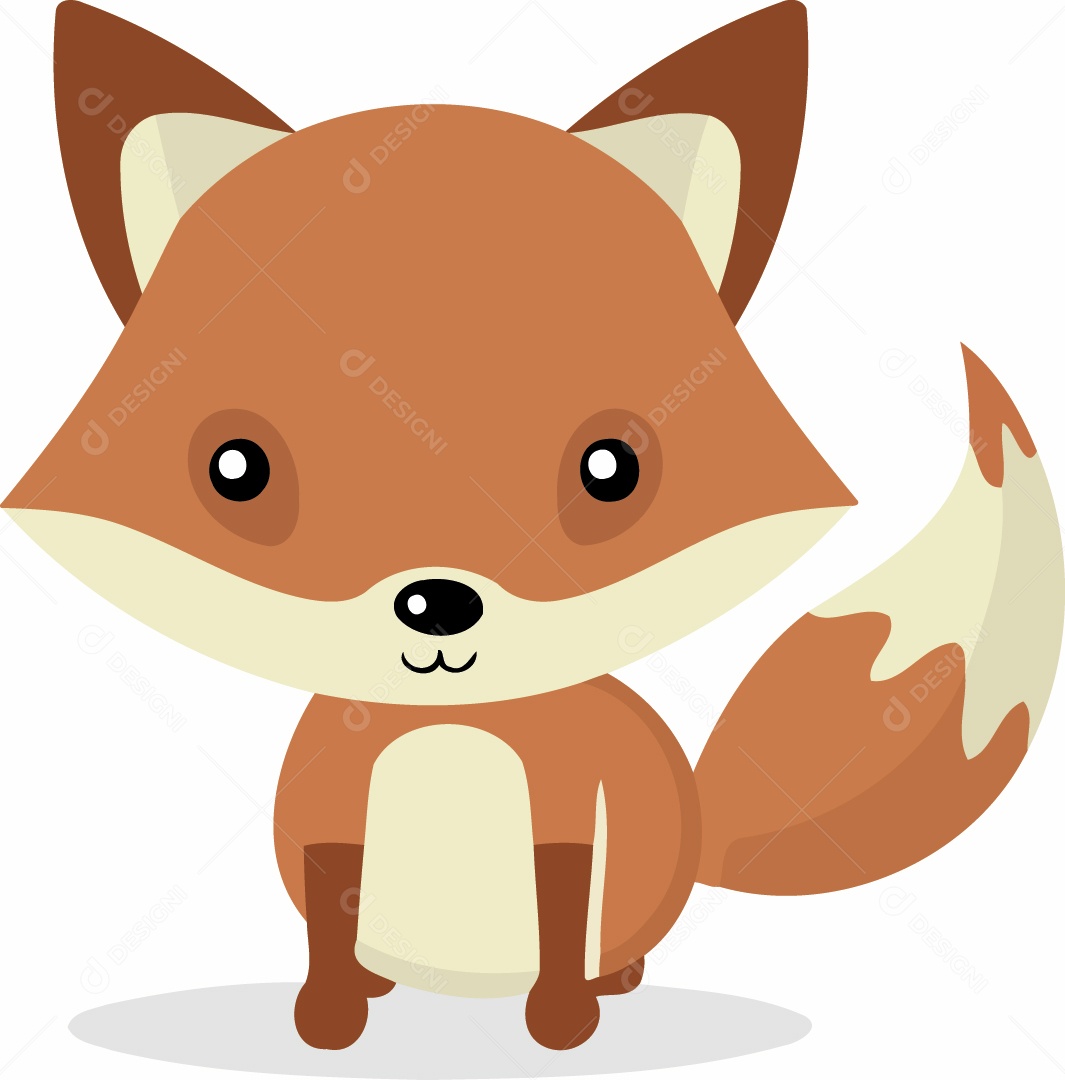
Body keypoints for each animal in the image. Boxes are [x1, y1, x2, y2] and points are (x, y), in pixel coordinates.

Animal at [4, 0, 1063, 1055]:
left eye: (611, 469)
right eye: (236, 470)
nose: (437, 603)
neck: (450, 724)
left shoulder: (566, 802)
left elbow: (560, 907)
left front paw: (560, 1022)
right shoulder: (327, 802)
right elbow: (331, 909)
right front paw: (330, 1017)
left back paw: (612, 982)